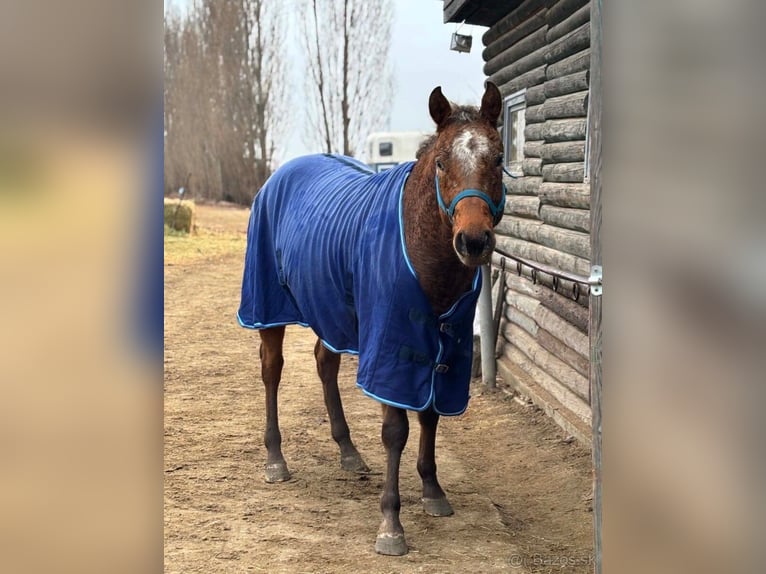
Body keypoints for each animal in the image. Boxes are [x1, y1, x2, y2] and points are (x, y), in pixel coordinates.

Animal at [237, 82, 505, 555]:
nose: (473, 242)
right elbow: (395, 430)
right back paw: (275, 459)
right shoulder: (391, 348)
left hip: (331, 309)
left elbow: (430, 415)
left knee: (324, 363)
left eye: (498, 158)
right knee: (272, 371)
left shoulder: (443, 347)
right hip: (267, 308)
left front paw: (433, 490)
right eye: (441, 161)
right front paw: (391, 524)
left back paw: (348, 451)